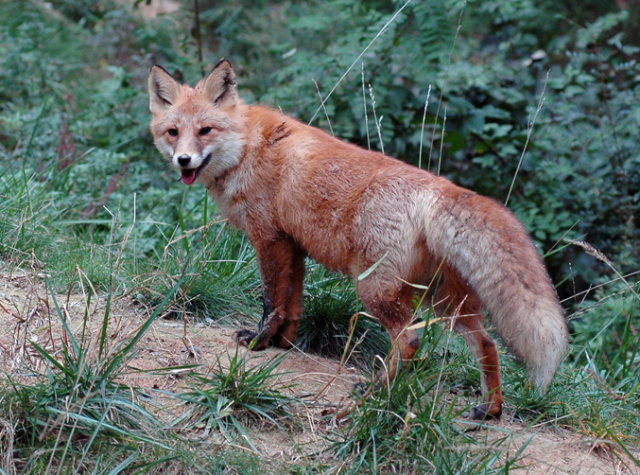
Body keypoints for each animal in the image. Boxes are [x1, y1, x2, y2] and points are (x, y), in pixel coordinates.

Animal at [150, 60, 568, 420]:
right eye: (173, 132)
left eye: (205, 130)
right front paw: (284, 344)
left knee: (410, 340)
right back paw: (490, 409)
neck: (247, 147)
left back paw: (374, 395)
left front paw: (259, 341)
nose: (183, 160)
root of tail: (440, 189)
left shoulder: (269, 239)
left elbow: (271, 301)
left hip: (375, 289)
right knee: (487, 344)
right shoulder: (294, 246)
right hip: (446, 302)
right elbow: (293, 304)